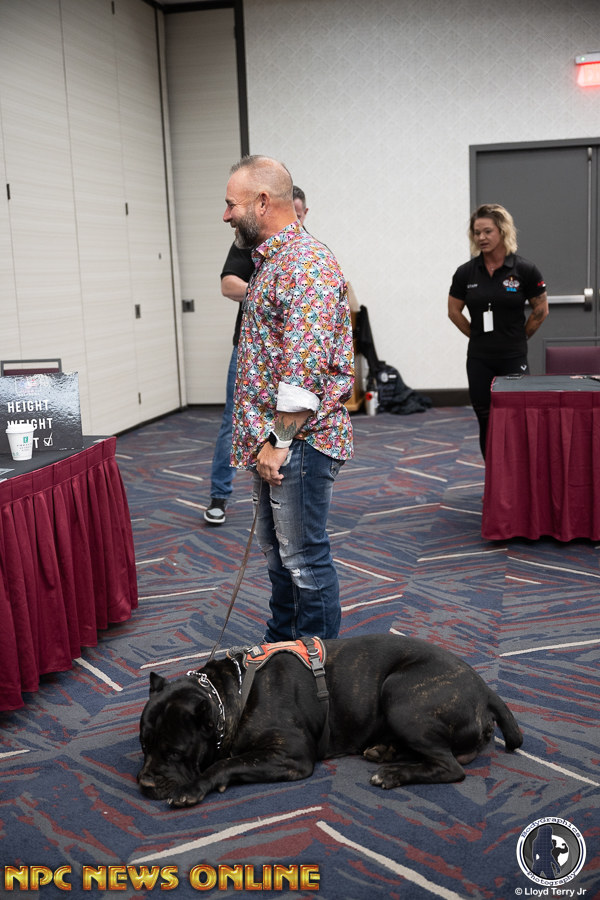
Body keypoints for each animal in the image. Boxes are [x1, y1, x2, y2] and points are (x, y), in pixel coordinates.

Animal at [137, 633, 523, 807]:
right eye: (144, 747)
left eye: (175, 753)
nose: (145, 782)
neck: (231, 693)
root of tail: (485, 688)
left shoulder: (290, 756)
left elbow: (226, 762)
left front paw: (195, 787)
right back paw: (385, 752)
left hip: (400, 695)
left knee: (450, 767)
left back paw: (392, 773)